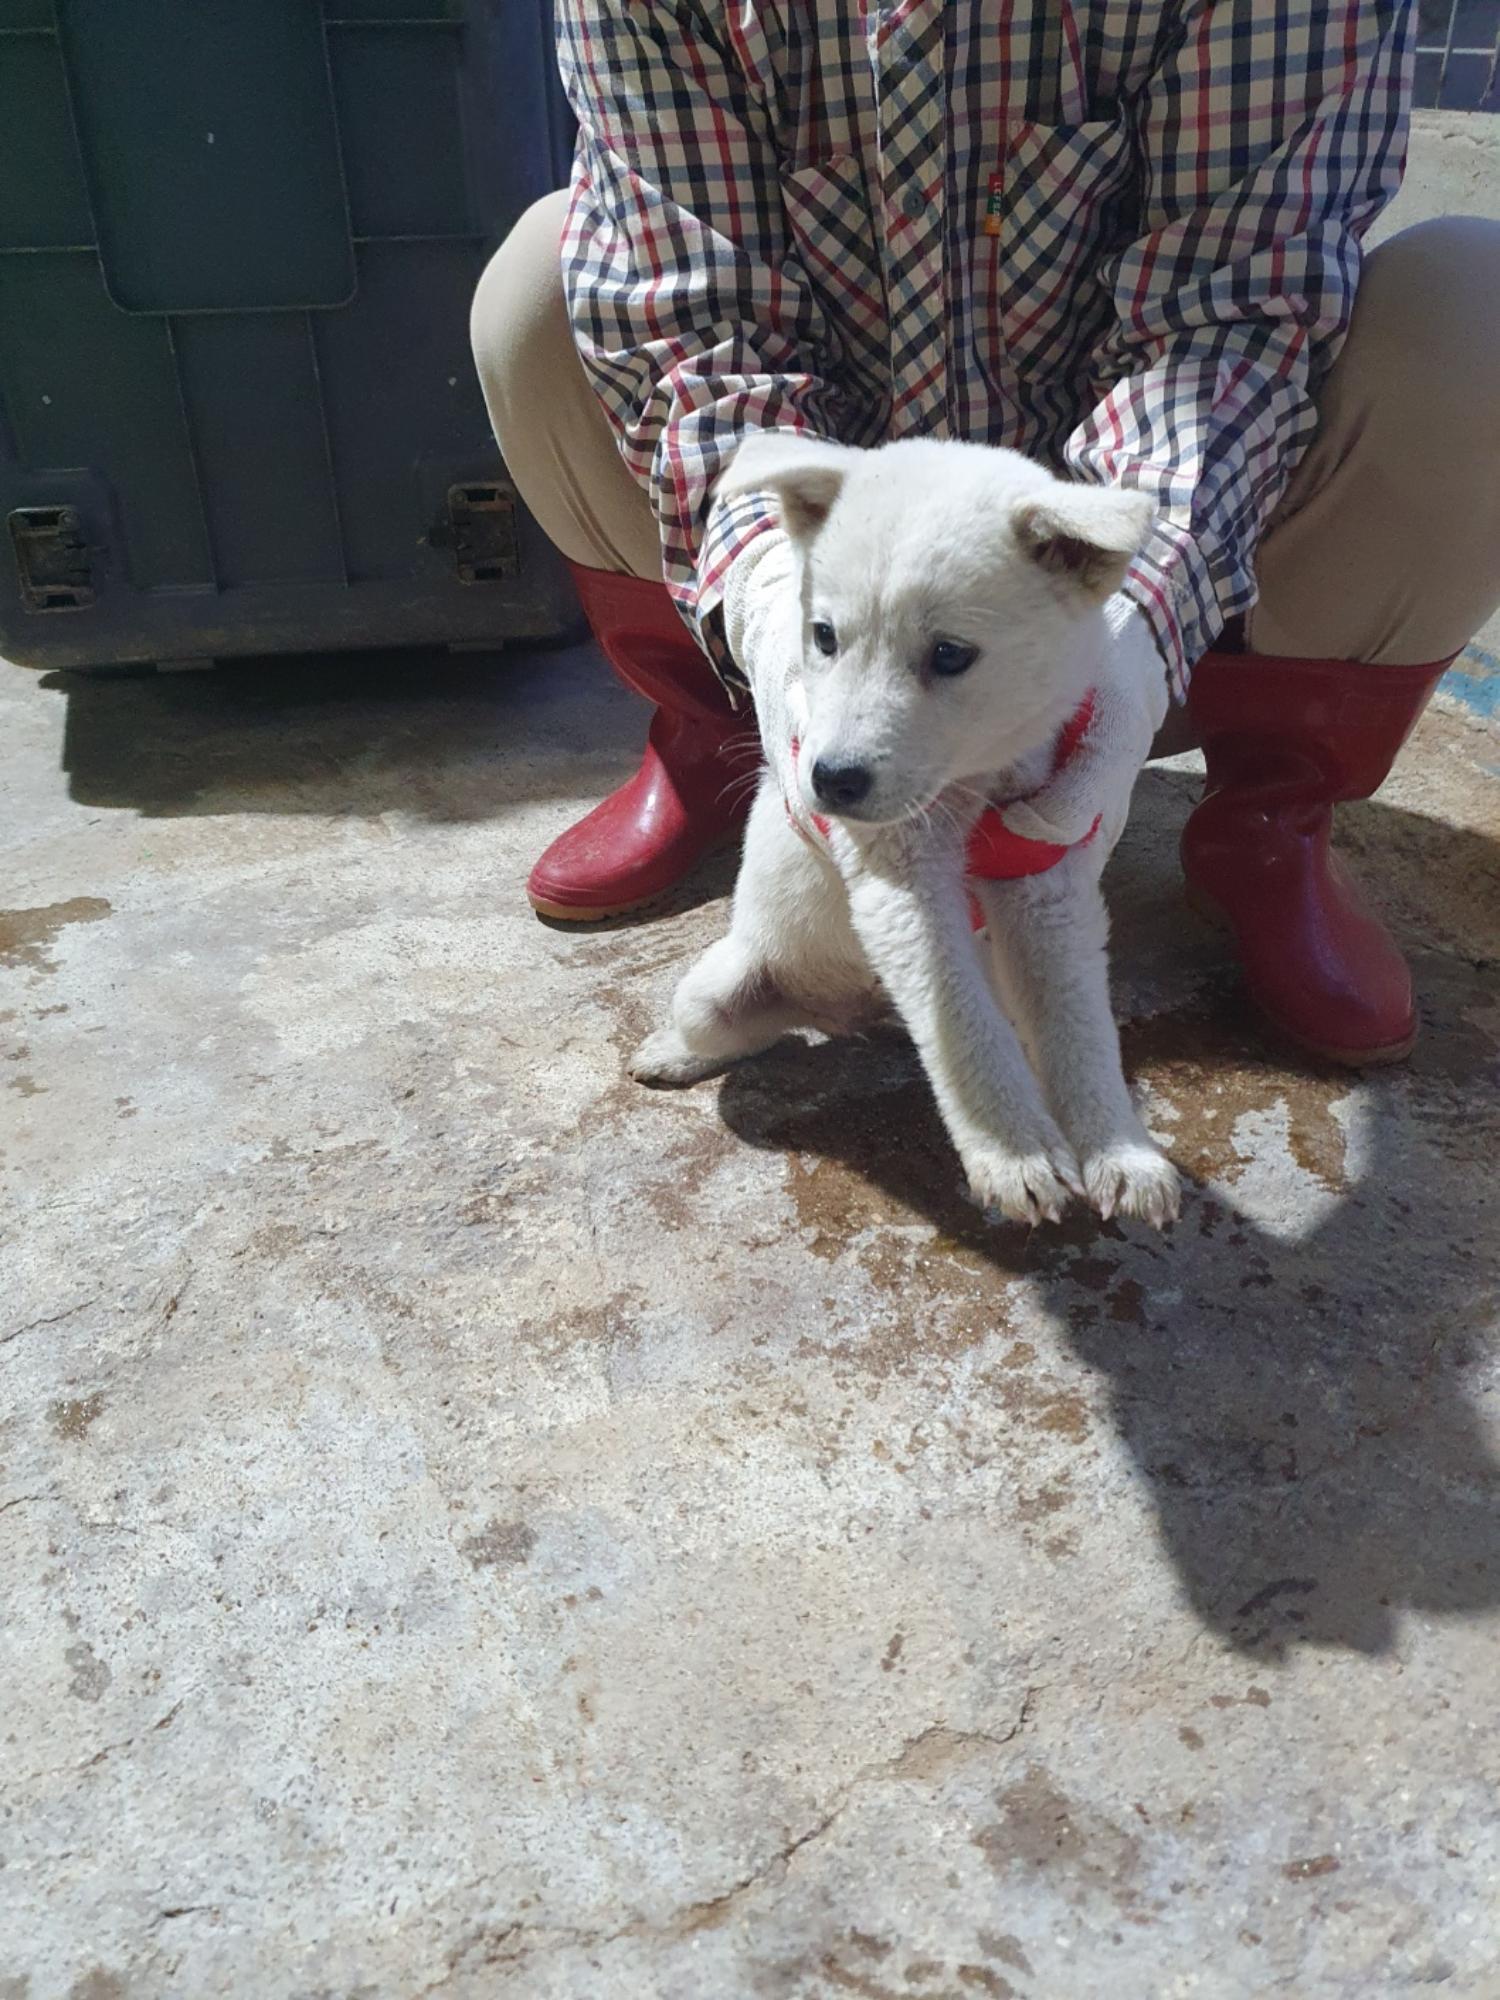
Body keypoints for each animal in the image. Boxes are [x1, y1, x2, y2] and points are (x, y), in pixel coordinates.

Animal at [628, 430, 1184, 1224]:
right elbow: (961, 1024)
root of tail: (835, 1011)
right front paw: (1013, 1153)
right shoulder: (902, 877)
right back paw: (673, 1053)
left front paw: (1122, 1153)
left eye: (950, 653)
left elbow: (1078, 1027)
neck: (973, 783)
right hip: (719, 987)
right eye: (823, 636)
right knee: (740, 1034)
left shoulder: (1048, 877)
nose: (829, 780)